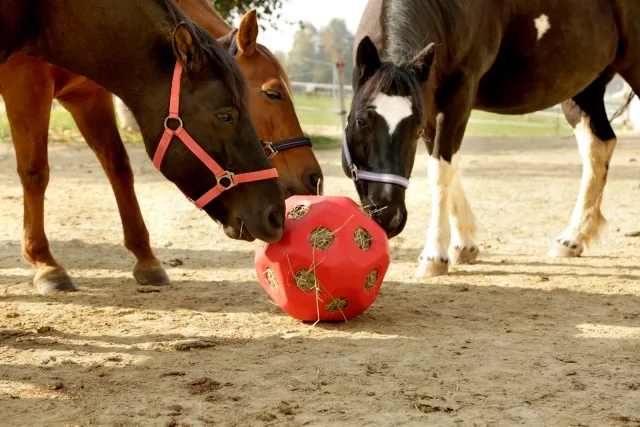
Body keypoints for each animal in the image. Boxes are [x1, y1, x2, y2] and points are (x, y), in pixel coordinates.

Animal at [0, 0, 286, 293]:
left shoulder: (86, 96)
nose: (276, 216)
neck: (42, 13)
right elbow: (35, 172)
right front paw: (46, 264)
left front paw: (146, 260)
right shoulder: (26, 84)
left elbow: (119, 167)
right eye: (225, 115)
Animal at [344, 0, 639, 277]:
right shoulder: (431, 102)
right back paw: (572, 238)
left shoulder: (459, 92)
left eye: (415, 130)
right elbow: (445, 166)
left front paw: (434, 256)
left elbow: (441, 170)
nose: (389, 216)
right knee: (598, 147)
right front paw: (465, 245)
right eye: (360, 121)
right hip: (586, 87)